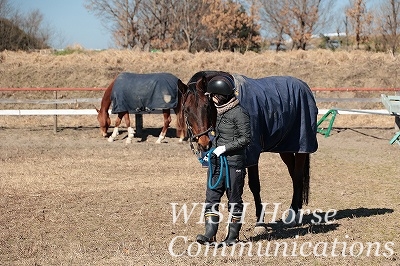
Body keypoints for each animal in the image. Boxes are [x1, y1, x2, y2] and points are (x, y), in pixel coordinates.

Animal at [181, 70, 318, 235]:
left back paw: (293, 216)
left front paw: (260, 223)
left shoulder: (252, 153)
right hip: (285, 148)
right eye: (186, 110)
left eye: (207, 106)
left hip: (301, 146)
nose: (204, 143)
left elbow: (254, 185)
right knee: (294, 175)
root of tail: (304, 87)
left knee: (297, 176)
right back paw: (295, 211)